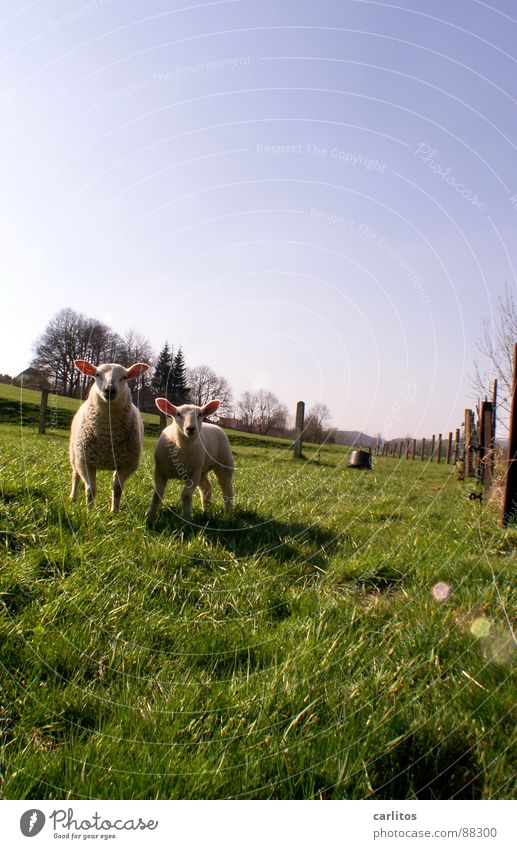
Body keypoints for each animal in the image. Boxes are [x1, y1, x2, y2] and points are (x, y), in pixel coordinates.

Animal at [68, 358, 149, 510]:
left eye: (124, 377)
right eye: (97, 374)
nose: (109, 390)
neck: (107, 437)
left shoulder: (127, 464)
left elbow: (117, 489)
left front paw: (114, 511)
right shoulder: (85, 461)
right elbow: (90, 489)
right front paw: (90, 511)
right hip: (74, 454)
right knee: (75, 476)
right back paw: (72, 498)